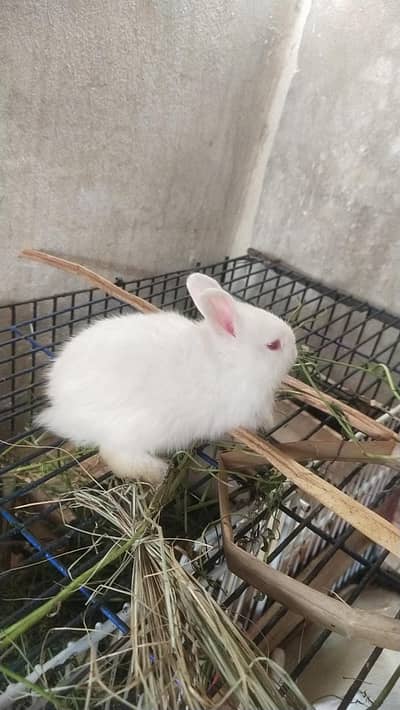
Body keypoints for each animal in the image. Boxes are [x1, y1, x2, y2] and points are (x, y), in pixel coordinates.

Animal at [37, 272, 297, 485]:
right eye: (273, 345)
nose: (295, 350)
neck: (230, 359)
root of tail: (59, 406)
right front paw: (269, 423)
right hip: (144, 428)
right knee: (116, 454)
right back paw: (157, 472)